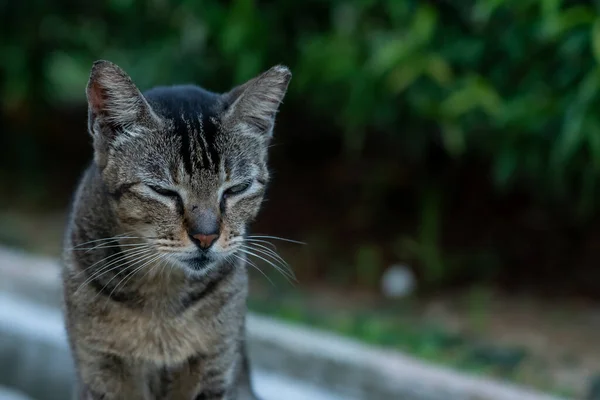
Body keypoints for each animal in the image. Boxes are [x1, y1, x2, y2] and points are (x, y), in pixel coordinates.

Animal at [62, 60, 292, 400]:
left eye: (236, 189)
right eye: (163, 191)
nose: (206, 236)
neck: (163, 296)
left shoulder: (214, 364)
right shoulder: (101, 365)